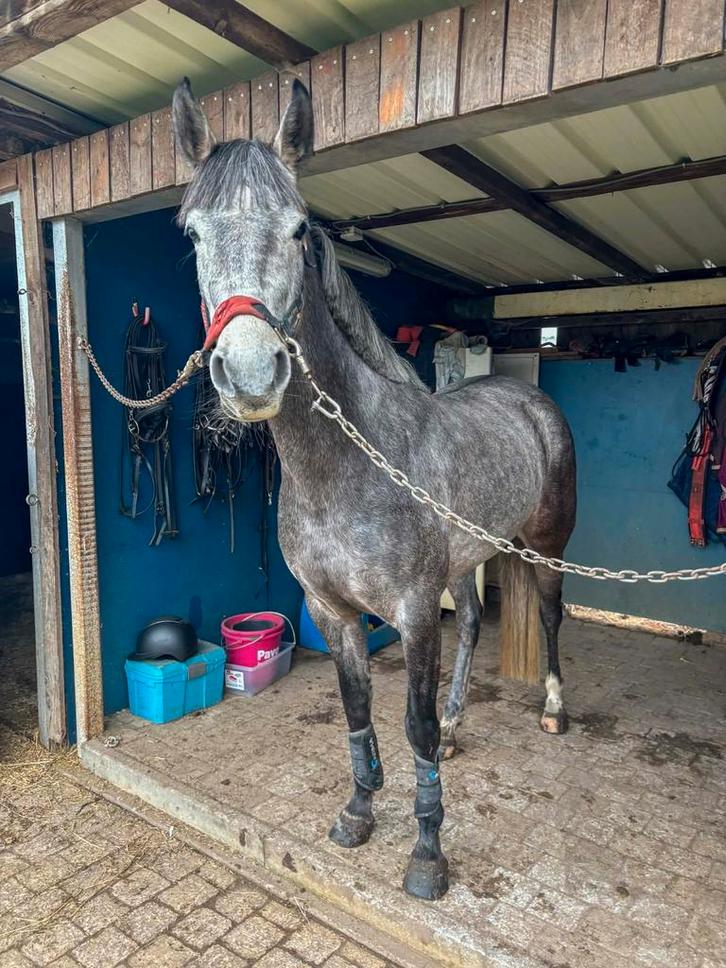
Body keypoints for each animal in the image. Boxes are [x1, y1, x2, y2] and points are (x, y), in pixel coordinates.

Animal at [172, 77, 576, 901]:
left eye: (299, 229)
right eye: (193, 234)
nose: (251, 373)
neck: (347, 465)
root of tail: (532, 401)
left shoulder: (415, 613)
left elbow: (409, 723)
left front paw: (427, 854)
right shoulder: (335, 611)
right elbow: (357, 708)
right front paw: (359, 810)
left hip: (544, 547)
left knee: (551, 618)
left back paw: (551, 710)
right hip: (474, 555)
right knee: (477, 621)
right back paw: (457, 728)